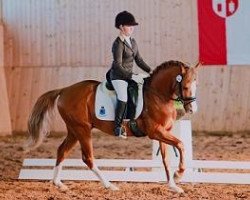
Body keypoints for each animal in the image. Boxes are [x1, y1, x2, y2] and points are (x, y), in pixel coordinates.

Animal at [26, 60, 200, 192]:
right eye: (185, 86)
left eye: (196, 85)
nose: (192, 109)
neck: (158, 95)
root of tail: (64, 90)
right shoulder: (156, 132)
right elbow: (181, 144)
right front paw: (179, 174)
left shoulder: (163, 132)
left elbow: (165, 160)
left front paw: (173, 186)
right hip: (82, 130)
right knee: (88, 158)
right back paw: (109, 185)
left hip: (74, 131)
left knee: (62, 151)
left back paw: (58, 184)